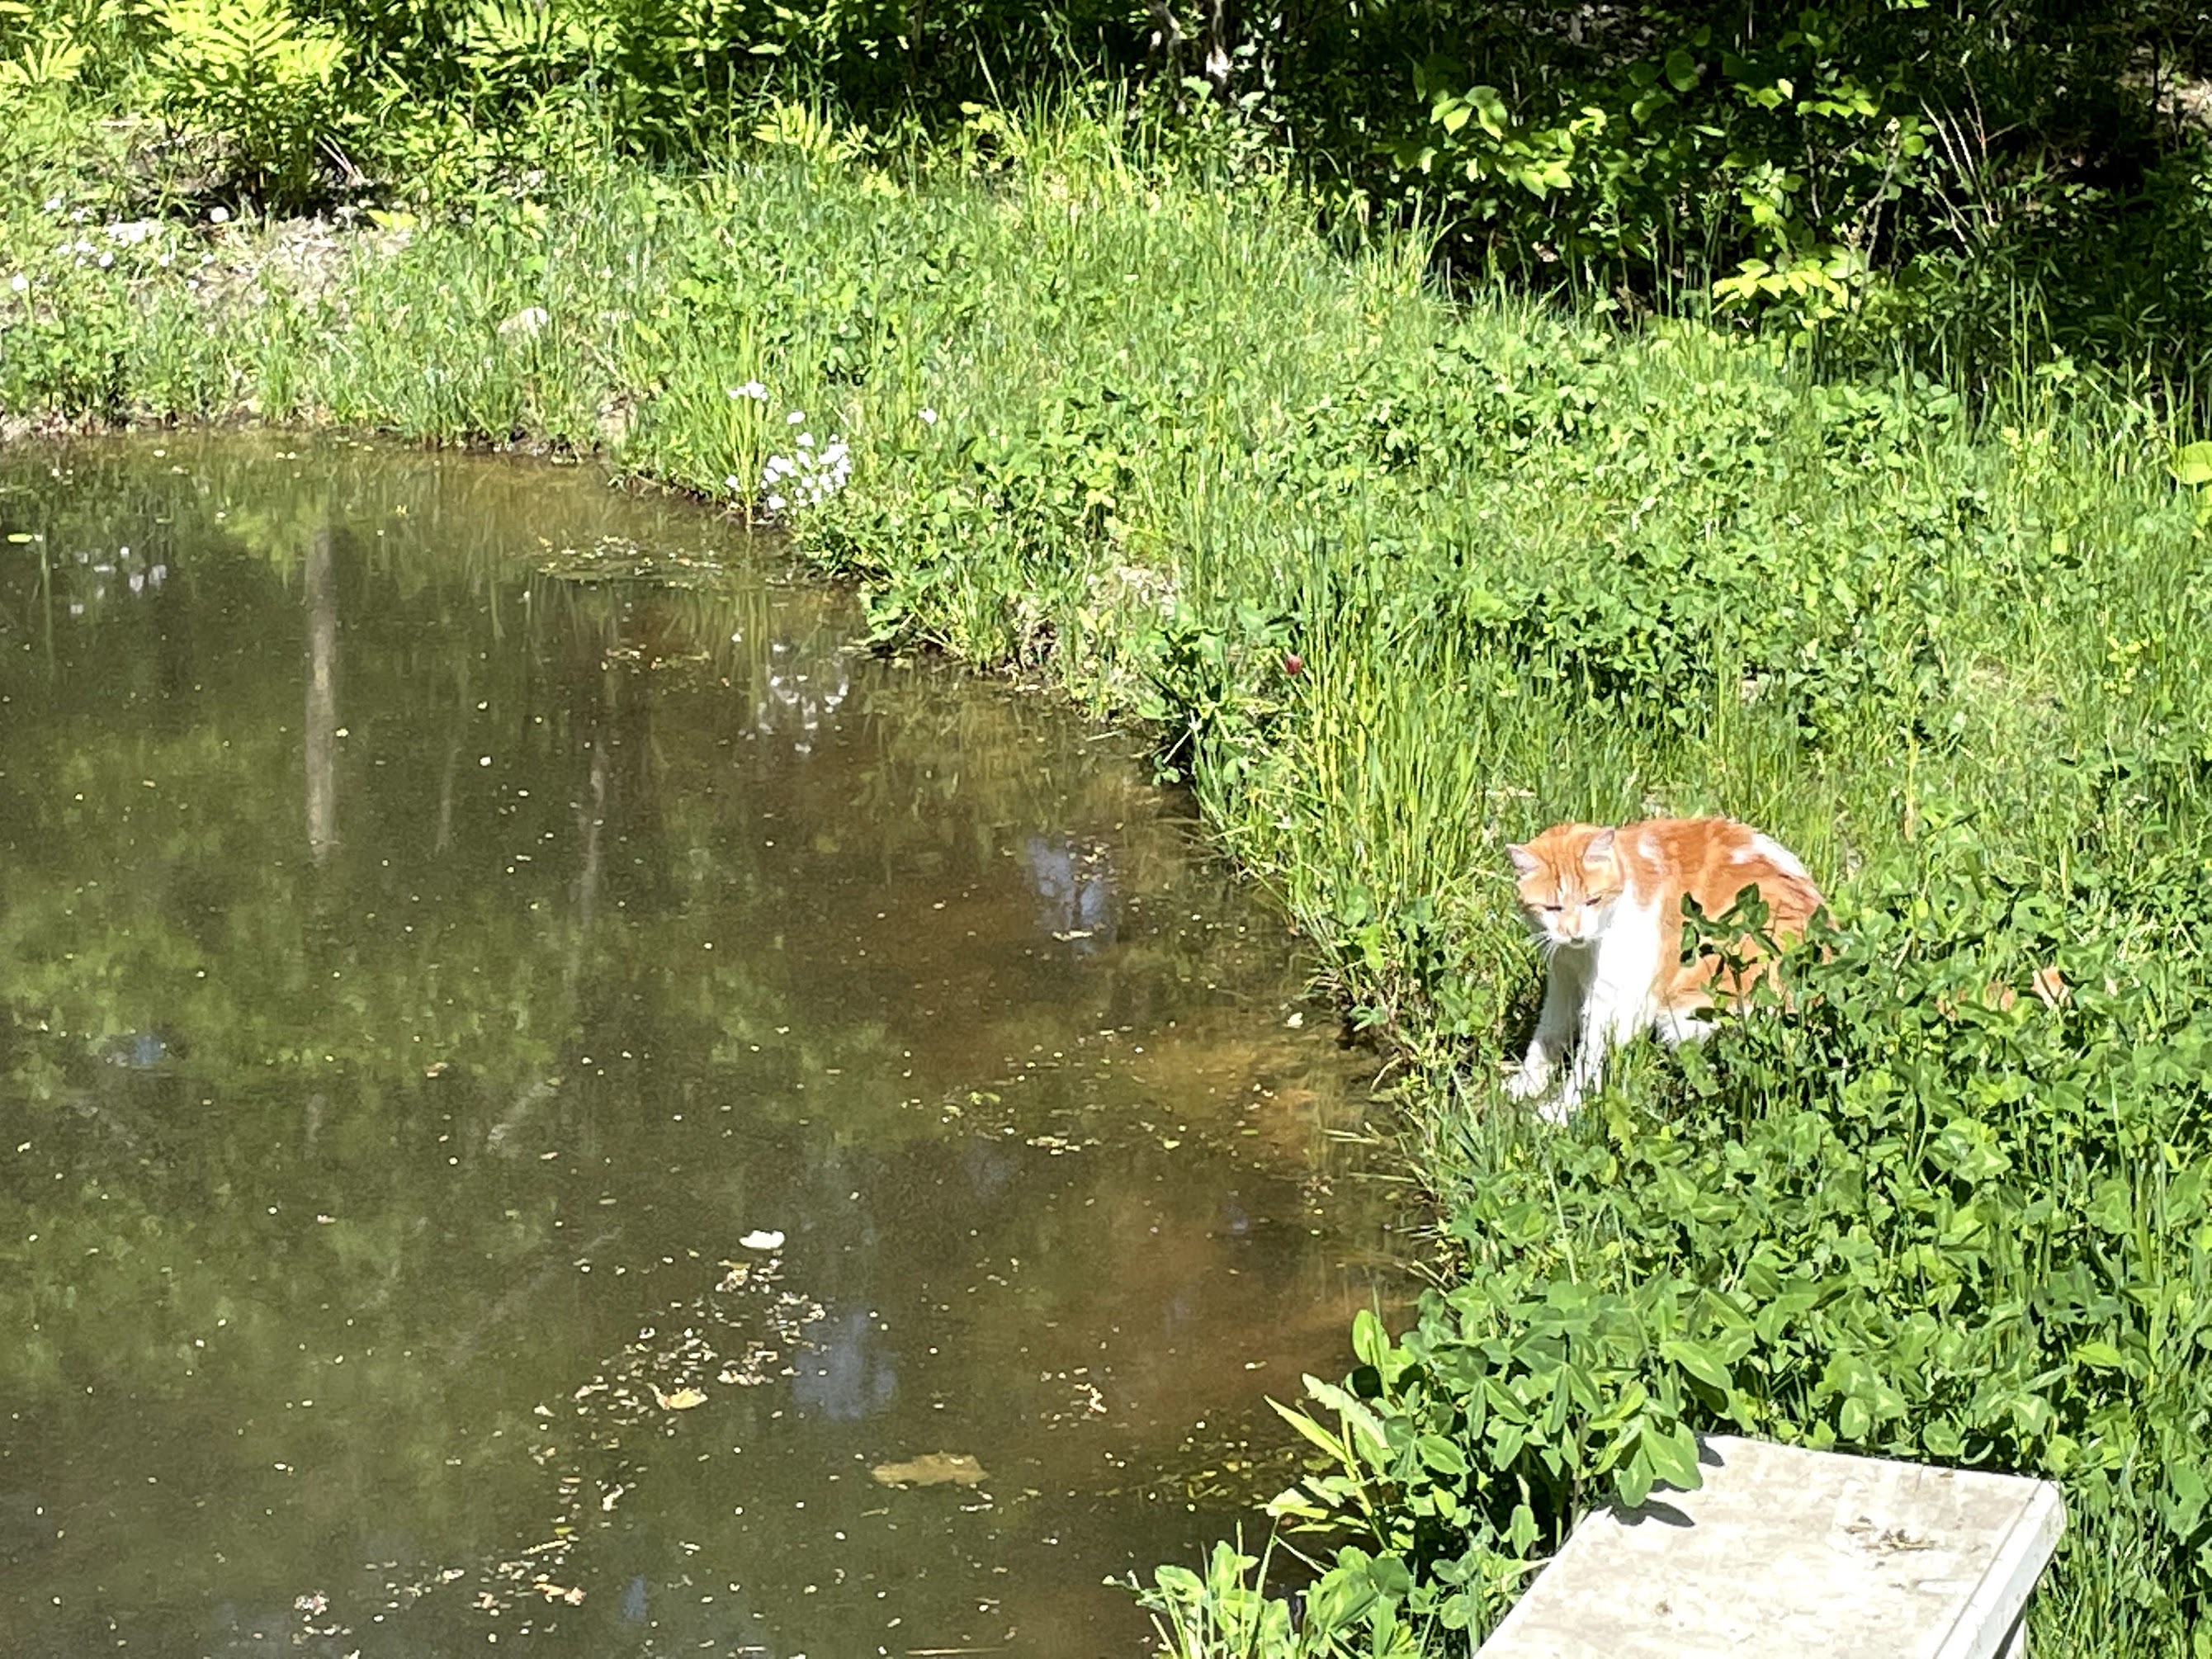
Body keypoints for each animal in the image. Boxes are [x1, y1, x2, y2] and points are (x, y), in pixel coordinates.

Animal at [1513, 814, 1822, 1123]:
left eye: (1592, 900)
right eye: (1552, 908)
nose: (1575, 932)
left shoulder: (1616, 1001)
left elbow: (1588, 1064)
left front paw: (1560, 1113)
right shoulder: (1562, 981)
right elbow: (1547, 1036)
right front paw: (1526, 1084)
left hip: (1694, 1020)